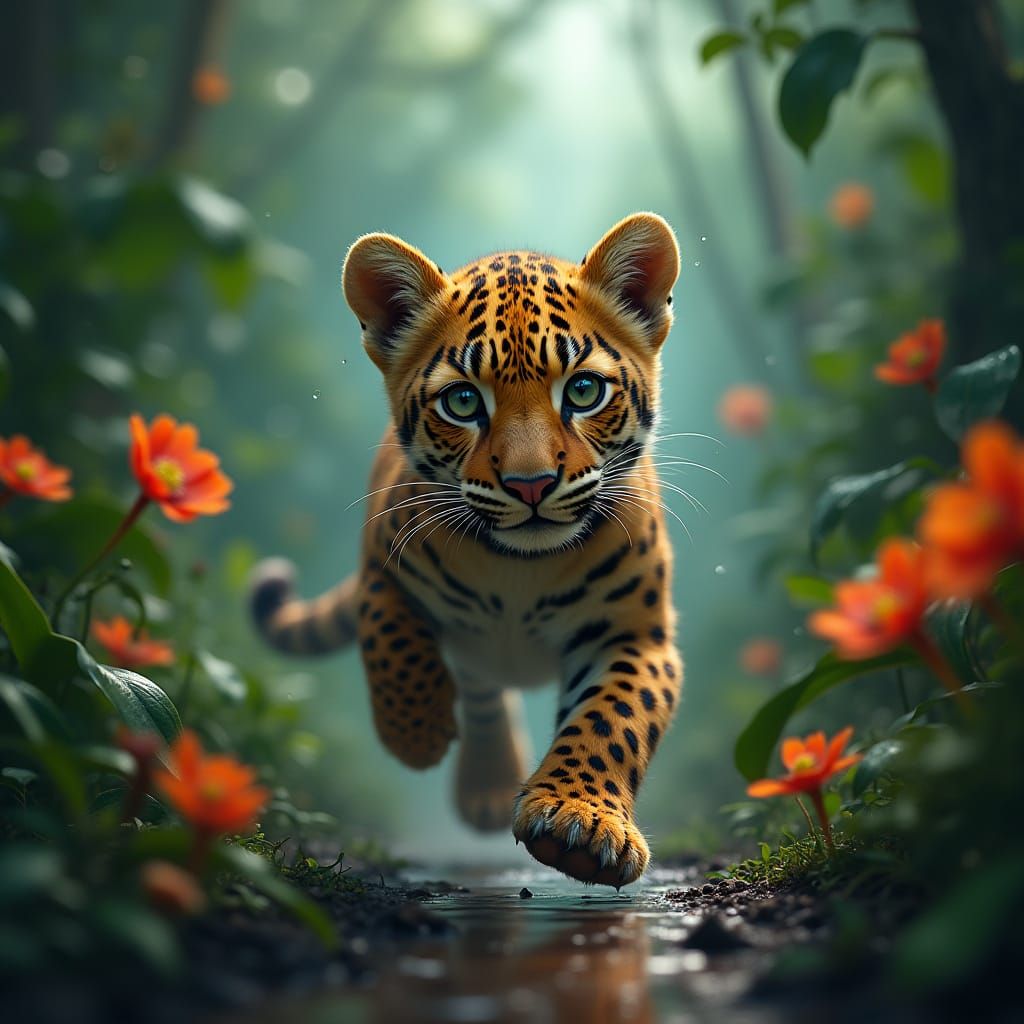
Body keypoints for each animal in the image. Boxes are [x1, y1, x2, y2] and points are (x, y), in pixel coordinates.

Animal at [249, 213, 684, 888]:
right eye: (462, 402)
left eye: (584, 391)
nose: (531, 484)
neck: (522, 571)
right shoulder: (379, 562)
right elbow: (388, 631)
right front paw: (415, 733)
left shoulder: (635, 632)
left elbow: (612, 717)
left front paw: (579, 823)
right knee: (479, 683)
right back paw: (481, 779)